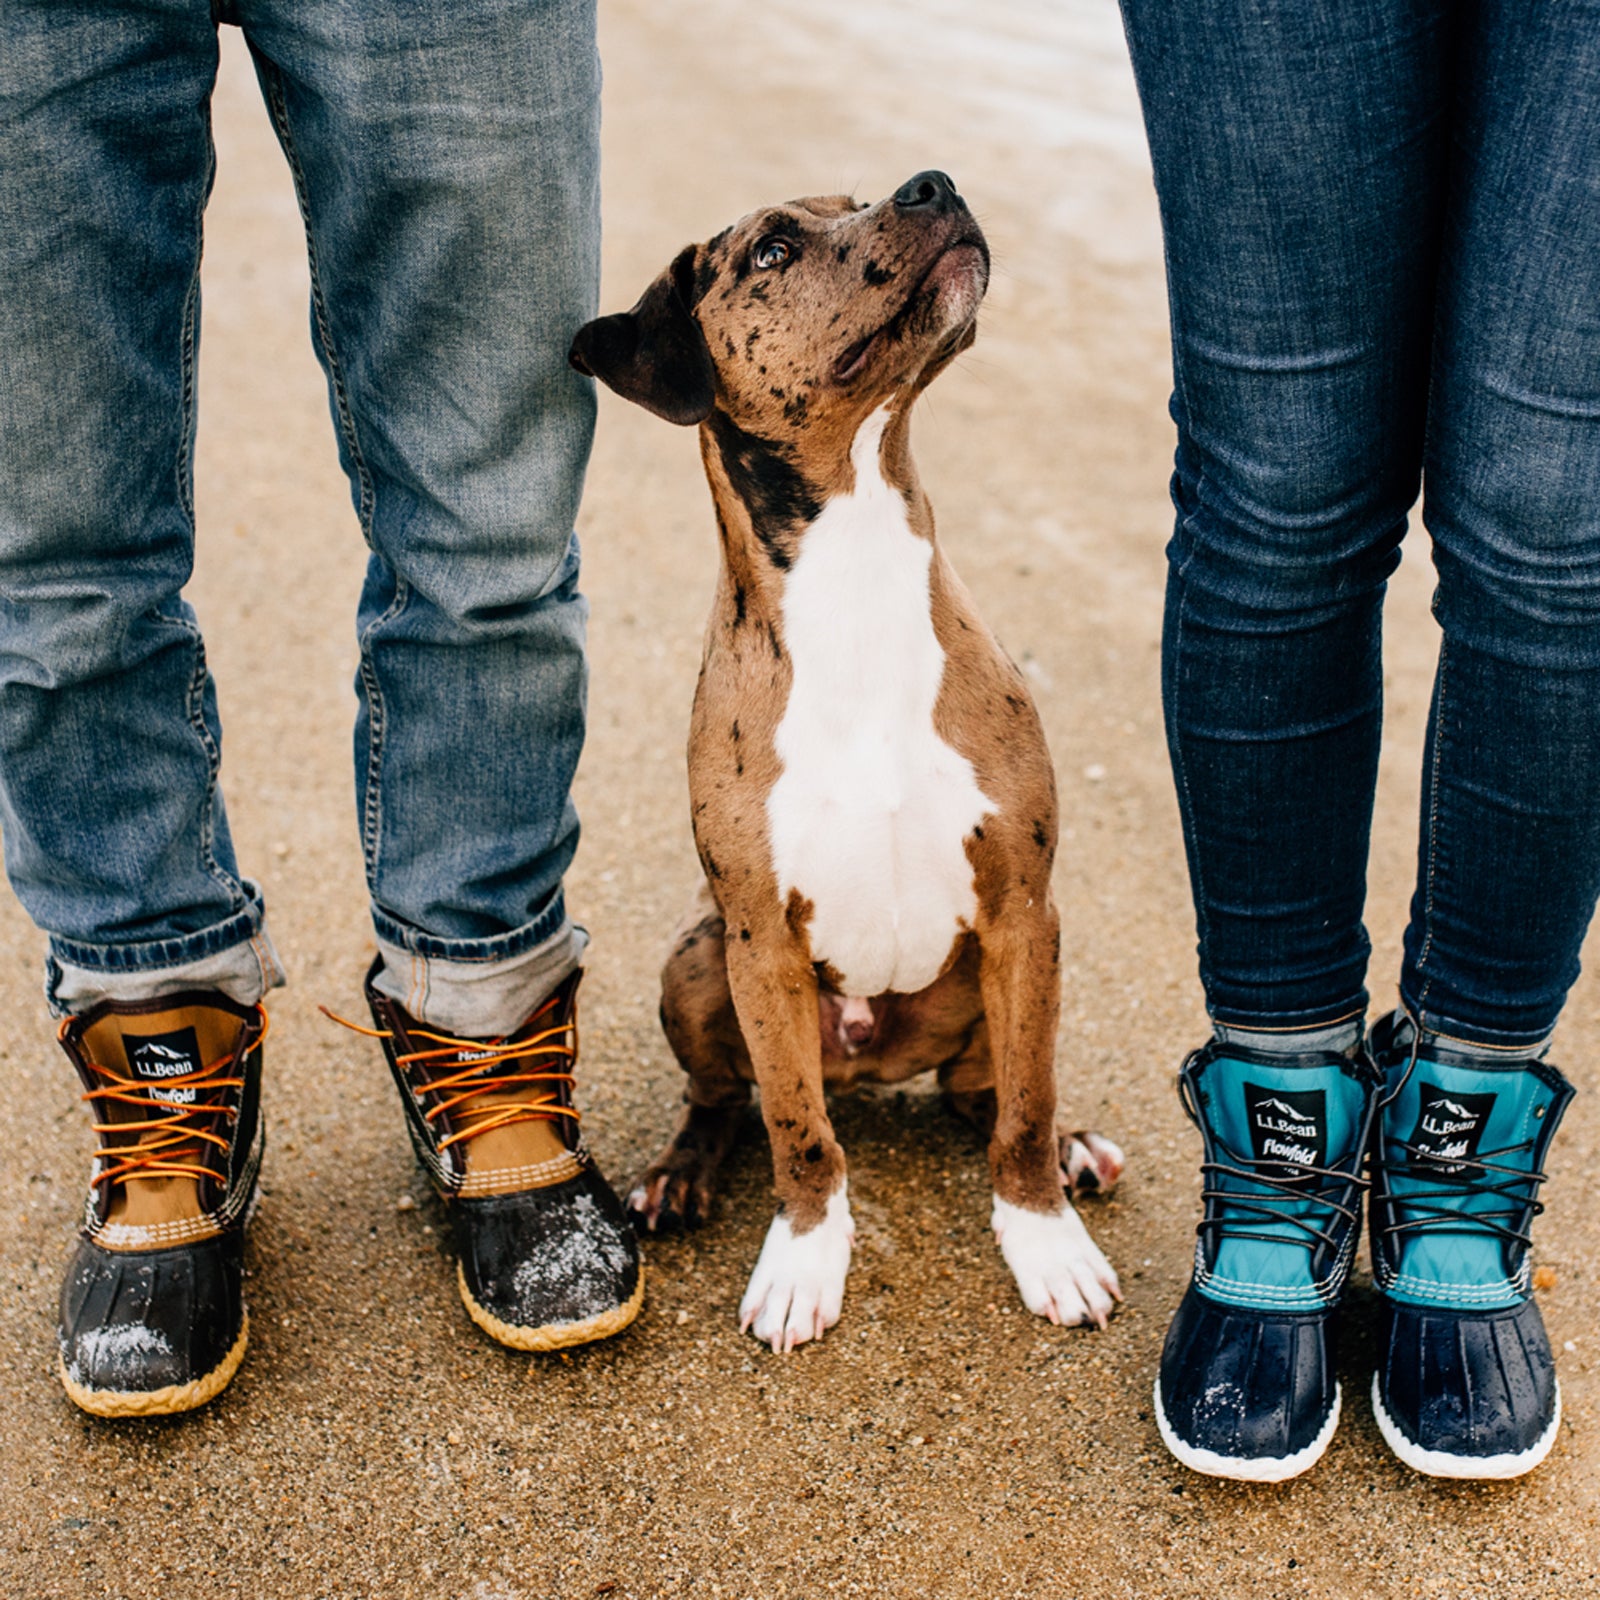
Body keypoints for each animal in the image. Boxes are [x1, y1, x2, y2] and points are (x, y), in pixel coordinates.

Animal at [569, 172, 1120, 1350]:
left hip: (1000, 977)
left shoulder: (1024, 909)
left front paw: (1043, 1238)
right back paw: (679, 1173)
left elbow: (1026, 1104)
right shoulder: (760, 943)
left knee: (987, 1095)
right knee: (724, 1098)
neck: (859, 566)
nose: (932, 184)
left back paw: (1069, 1151)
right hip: (695, 961)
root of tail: (870, 1061)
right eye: (772, 252)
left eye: (860, 198)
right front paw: (804, 1258)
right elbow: (795, 1127)